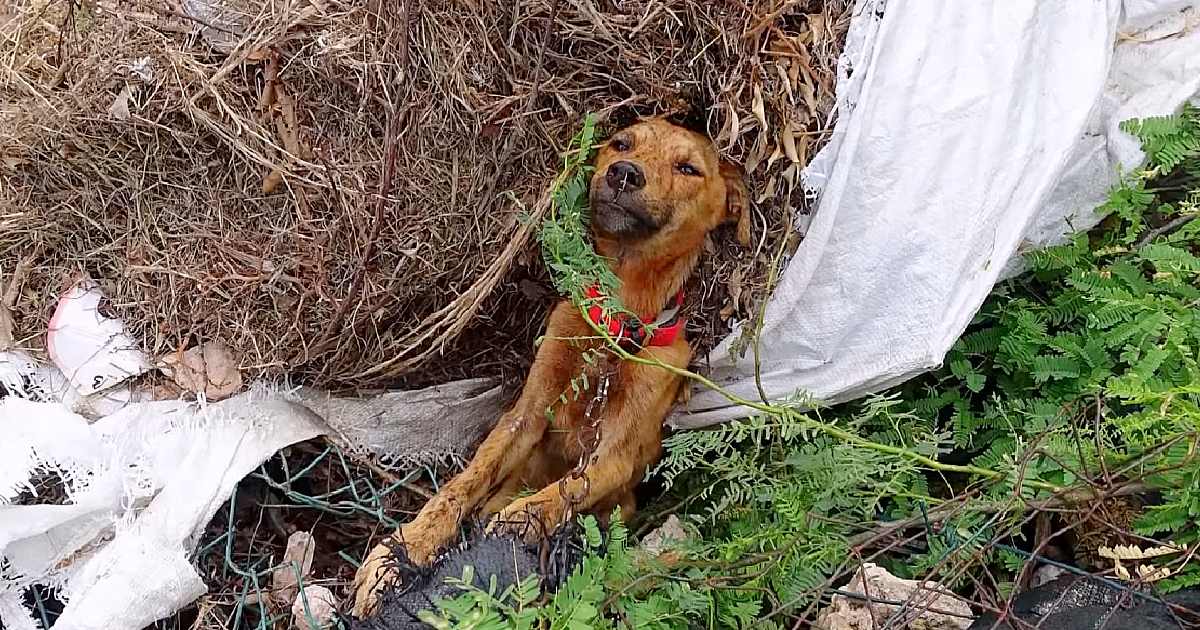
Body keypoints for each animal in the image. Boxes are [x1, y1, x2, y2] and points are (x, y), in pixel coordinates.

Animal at [348, 117, 744, 614]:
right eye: (621, 144)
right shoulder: (526, 414)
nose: (624, 173)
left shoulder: (618, 453)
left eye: (688, 168)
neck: (613, 325)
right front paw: (406, 546)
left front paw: (520, 520)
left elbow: (569, 488)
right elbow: (463, 483)